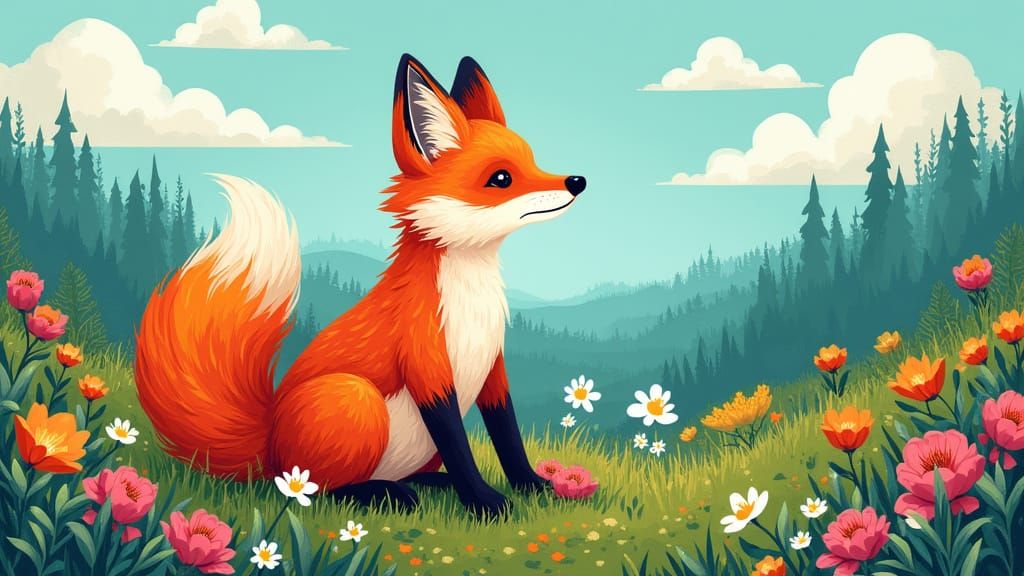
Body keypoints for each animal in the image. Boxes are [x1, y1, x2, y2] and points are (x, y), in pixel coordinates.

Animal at [135, 54, 586, 515]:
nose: (577, 181)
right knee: (313, 490)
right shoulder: (427, 368)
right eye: (501, 178)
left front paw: (531, 485)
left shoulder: (493, 367)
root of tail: (269, 445)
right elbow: (460, 447)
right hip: (355, 399)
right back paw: (385, 495)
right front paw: (483, 503)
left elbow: (507, 434)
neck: (471, 301)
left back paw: (428, 484)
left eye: (534, 161)